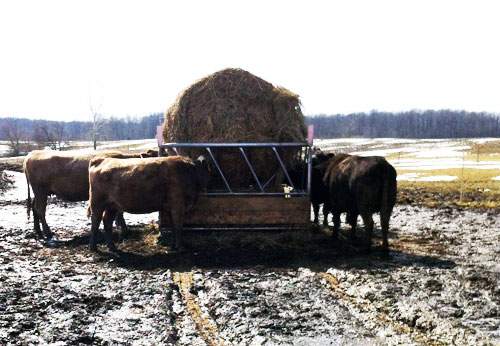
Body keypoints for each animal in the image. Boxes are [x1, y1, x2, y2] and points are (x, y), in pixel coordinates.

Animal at [22, 150, 156, 239]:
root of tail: (31, 154)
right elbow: (120, 212)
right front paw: (124, 229)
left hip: (40, 193)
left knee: (34, 207)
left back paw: (38, 231)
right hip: (40, 191)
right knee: (40, 209)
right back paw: (47, 232)